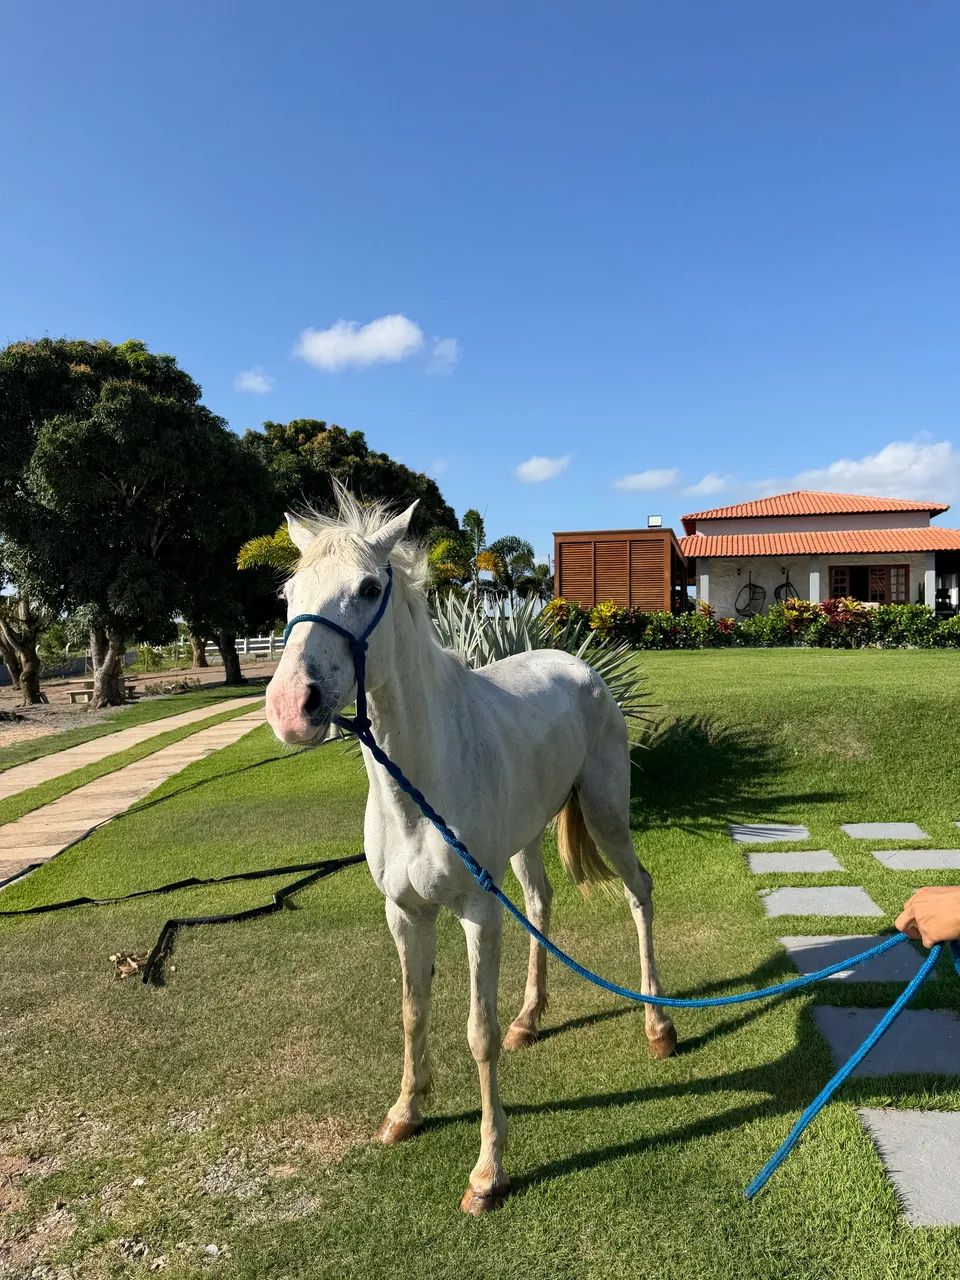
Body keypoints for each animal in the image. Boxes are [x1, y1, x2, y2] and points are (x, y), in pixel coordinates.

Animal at [265, 491, 677, 1215]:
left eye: (367, 588)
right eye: (289, 594)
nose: (292, 708)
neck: (418, 789)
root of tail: (579, 667)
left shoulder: (477, 914)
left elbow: (477, 1034)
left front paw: (488, 1172)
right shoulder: (404, 914)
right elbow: (412, 1011)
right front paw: (406, 1112)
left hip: (606, 816)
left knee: (639, 892)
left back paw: (658, 1025)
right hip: (524, 841)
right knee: (540, 902)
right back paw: (531, 1019)